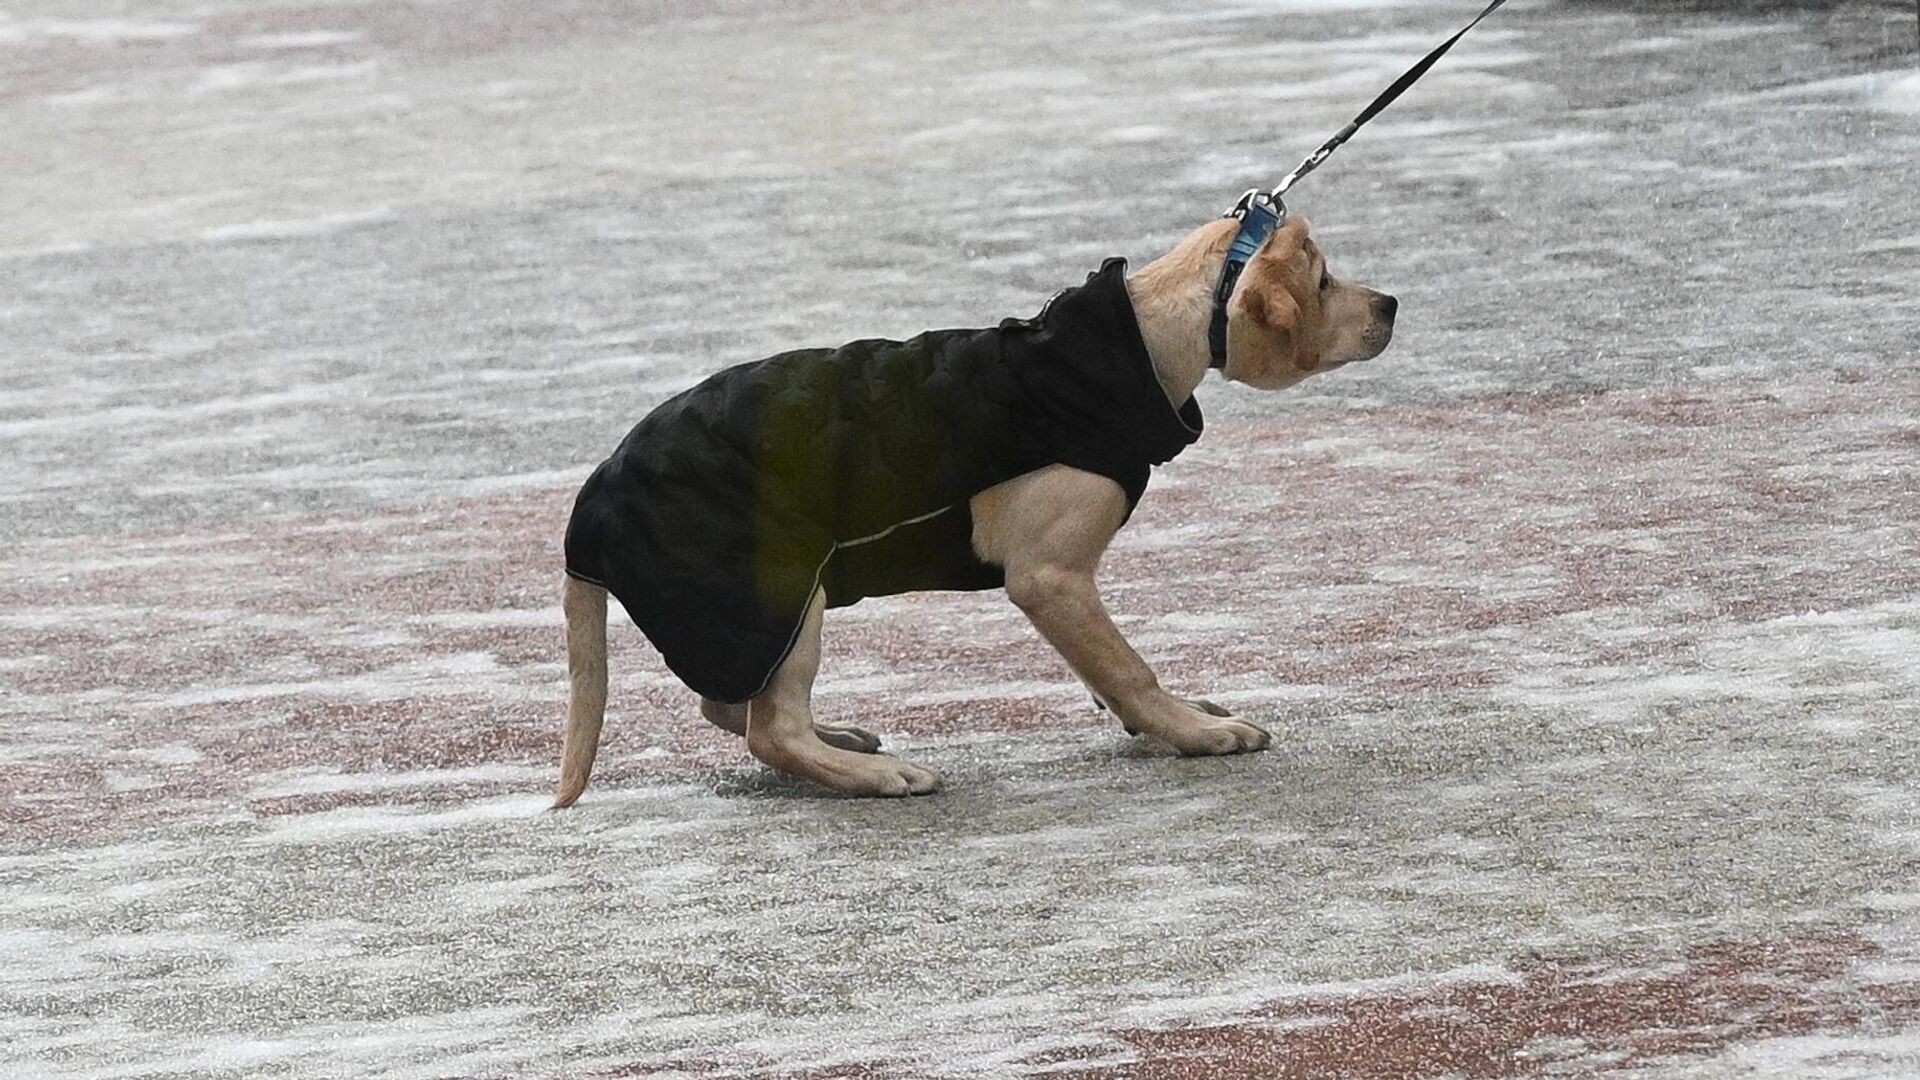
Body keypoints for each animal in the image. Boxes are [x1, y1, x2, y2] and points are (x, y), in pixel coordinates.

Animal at [556, 214, 1397, 799]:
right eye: (1324, 282)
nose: (1391, 302)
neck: (1141, 340)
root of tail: (594, 499)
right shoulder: (1050, 576)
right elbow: (1130, 668)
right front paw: (1193, 732)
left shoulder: (1065, 593)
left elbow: (1105, 664)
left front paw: (1174, 717)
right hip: (779, 593)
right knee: (771, 730)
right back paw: (877, 777)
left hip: (764, 613)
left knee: (734, 708)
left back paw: (841, 739)